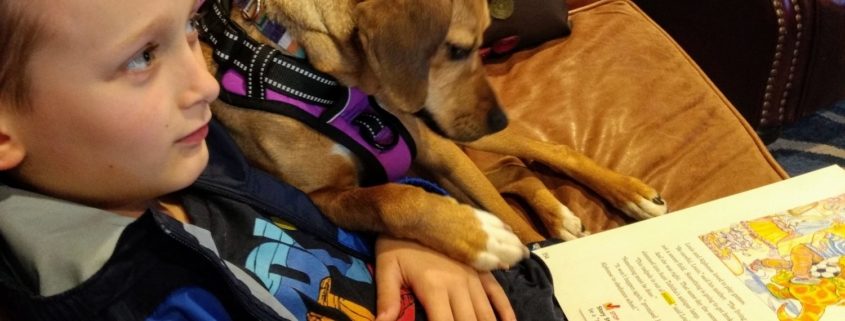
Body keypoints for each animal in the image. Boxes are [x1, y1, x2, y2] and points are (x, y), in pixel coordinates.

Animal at [198, 0, 664, 270]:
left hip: (465, 145)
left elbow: (515, 224)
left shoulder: (438, 150)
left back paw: (631, 194)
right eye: (457, 49)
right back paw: (560, 217)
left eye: (483, 42)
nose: (499, 118)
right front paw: (481, 238)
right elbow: (392, 199)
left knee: (551, 151)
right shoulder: (325, 197)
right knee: (515, 172)